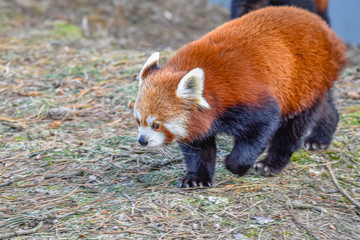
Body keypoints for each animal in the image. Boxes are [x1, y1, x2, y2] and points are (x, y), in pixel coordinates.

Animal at [133, 6, 346, 188]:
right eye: (138, 121)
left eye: (156, 124)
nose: (142, 141)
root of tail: (324, 28)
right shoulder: (199, 121)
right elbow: (199, 148)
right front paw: (197, 178)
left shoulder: (247, 98)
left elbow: (261, 129)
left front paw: (236, 165)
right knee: (324, 106)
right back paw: (320, 138)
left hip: (304, 77)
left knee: (292, 129)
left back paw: (270, 164)